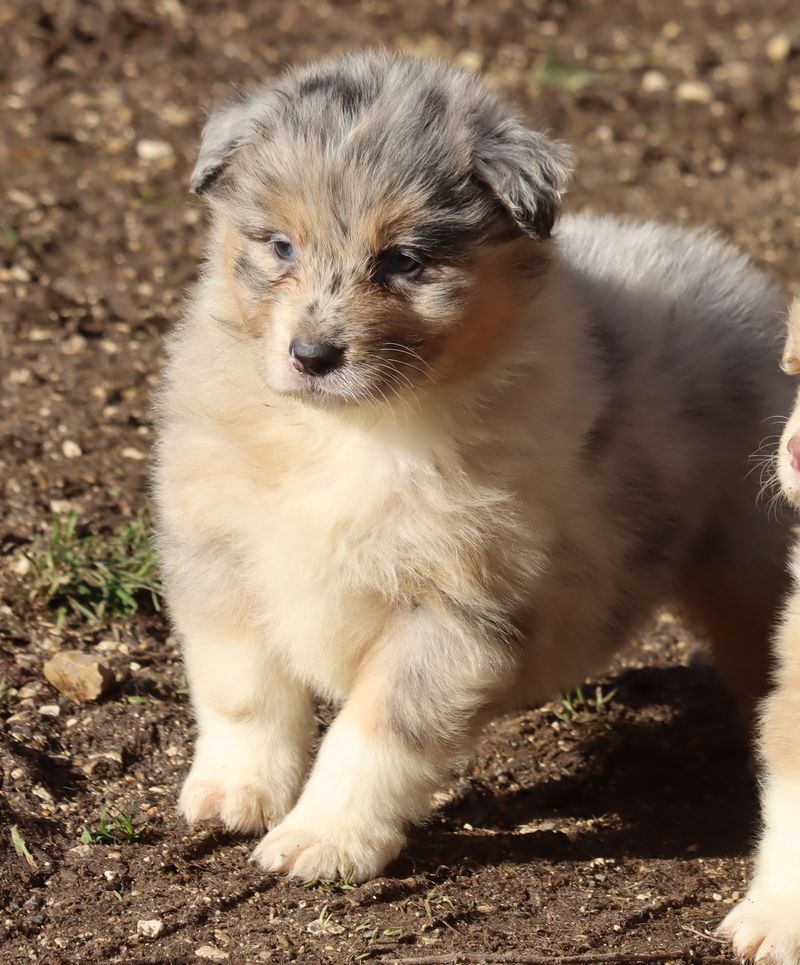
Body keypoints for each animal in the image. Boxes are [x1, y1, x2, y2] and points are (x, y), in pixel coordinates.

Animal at [156, 50, 792, 880]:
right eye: (280, 245)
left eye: (404, 261)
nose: (313, 356)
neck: (356, 430)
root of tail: (736, 274)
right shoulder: (221, 553)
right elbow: (244, 692)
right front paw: (233, 795)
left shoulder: (456, 603)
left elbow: (374, 731)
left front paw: (321, 838)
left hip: (749, 564)